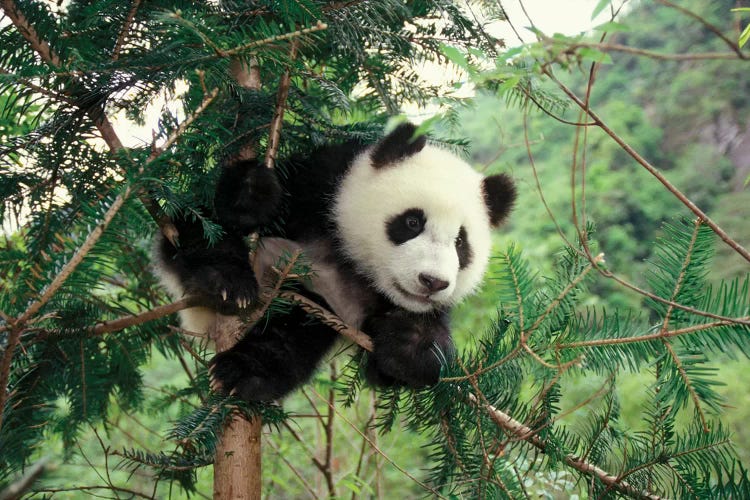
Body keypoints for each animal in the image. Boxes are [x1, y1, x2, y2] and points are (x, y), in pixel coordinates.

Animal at [153, 122, 516, 402]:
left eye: (461, 244)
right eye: (412, 222)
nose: (432, 282)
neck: (351, 259)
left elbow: (401, 365)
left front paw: (409, 343)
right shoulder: (321, 184)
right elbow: (218, 213)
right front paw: (252, 195)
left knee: (295, 330)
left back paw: (246, 372)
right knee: (195, 229)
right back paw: (225, 288)